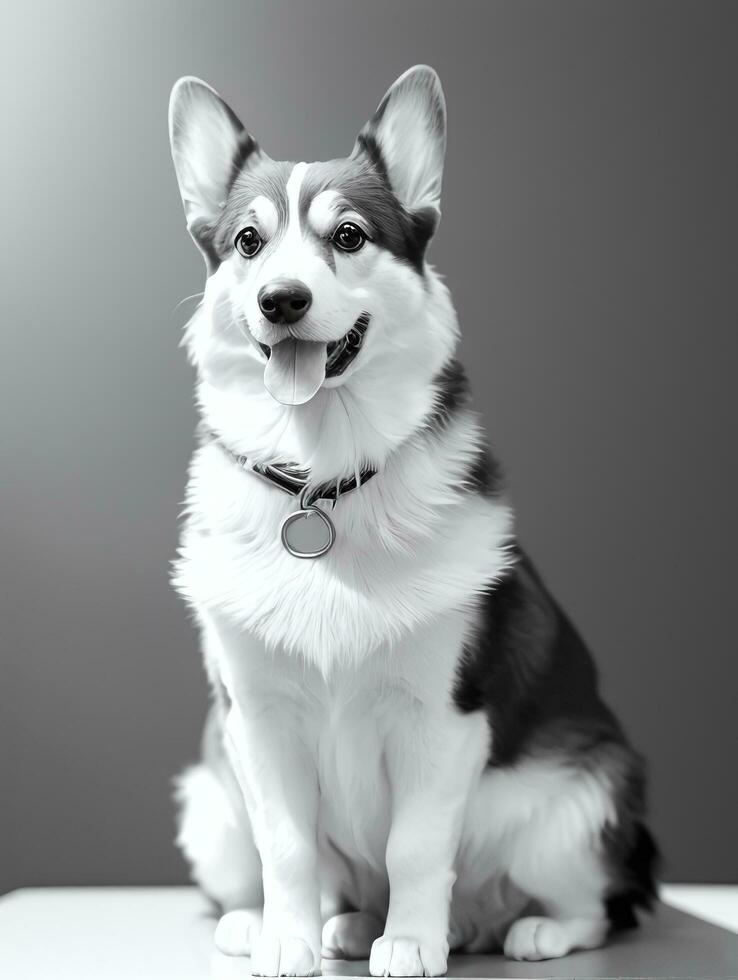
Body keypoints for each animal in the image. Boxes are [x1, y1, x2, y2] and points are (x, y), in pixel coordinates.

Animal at [168, 65, 656, 976]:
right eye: (248, 243)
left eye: (349, 236)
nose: (281, 300)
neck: (320, 480)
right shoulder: (256, 720)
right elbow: (287, 845)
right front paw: (288, 938)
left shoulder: (442, 718)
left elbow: (417, 847)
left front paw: (413, 941)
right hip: (210, 801)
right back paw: (314, 922)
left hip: (579, 804)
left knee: (593, 904)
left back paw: (522, 931)